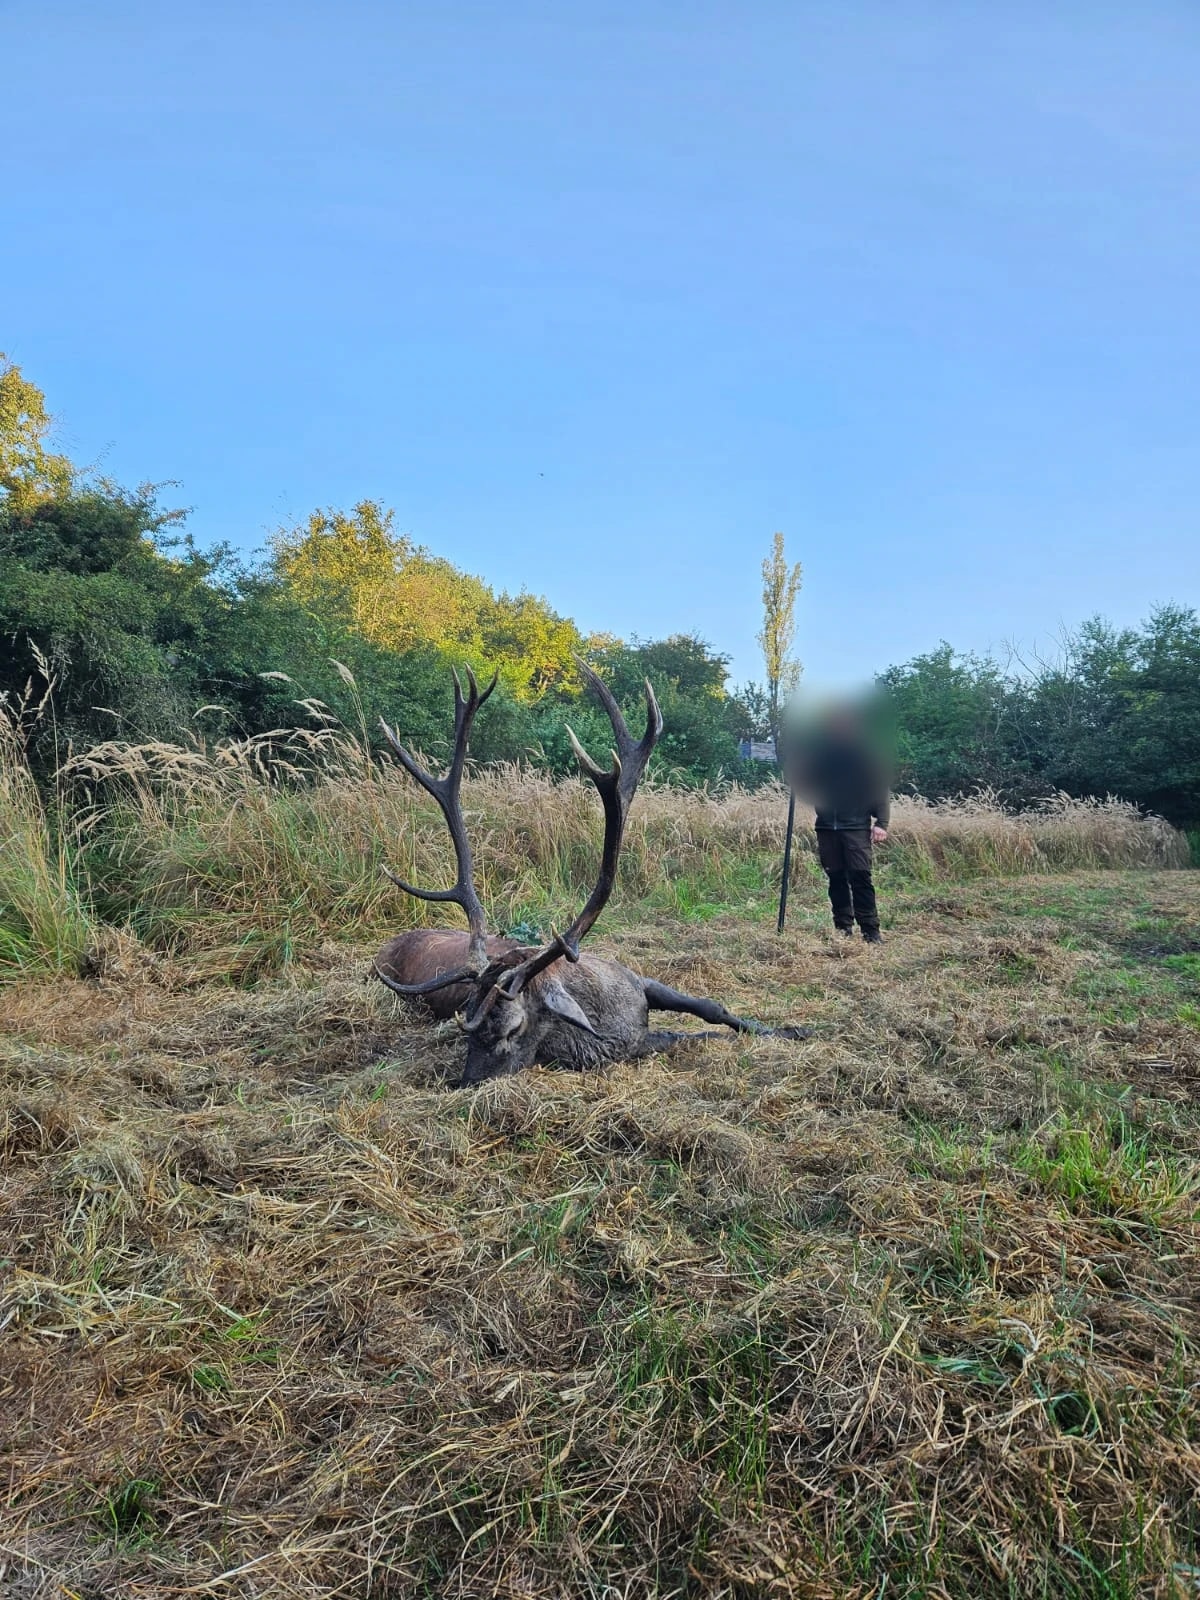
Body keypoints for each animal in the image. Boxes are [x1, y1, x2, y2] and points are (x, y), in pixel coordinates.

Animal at [373, 660, 809, 1086]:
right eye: (465, 1026)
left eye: (512, 1028)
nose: (463, 1084)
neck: (610, 1019)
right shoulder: (636, 1043)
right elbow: (691, 1034)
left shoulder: (639, 979)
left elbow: (711, 1008)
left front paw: (792, 1029)